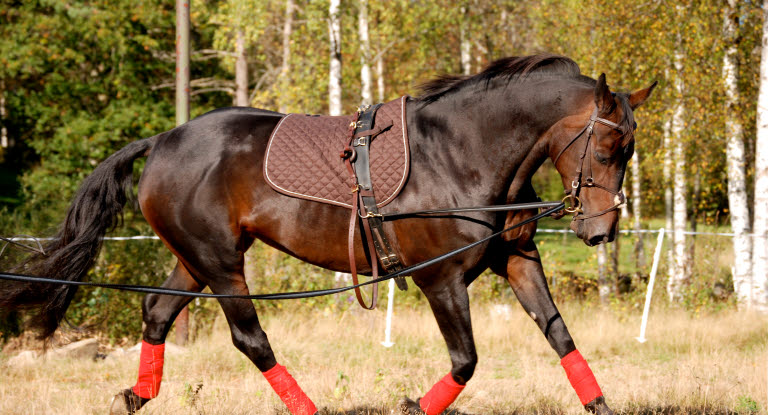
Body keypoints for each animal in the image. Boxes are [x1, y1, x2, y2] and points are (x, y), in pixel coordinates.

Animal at [0, 55, 656, 415]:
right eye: (606, 147)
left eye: (629, 149)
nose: (600, 231)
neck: (461, 155)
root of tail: (162, 140)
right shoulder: (441, 280)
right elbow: (466, 361)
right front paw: (411, 404)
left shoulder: (516, 261)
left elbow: (560, 336)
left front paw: (599, 403)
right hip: (220, 264)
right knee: (250, 339)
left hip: (198, 258)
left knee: (158, 315)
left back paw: (136, 395)